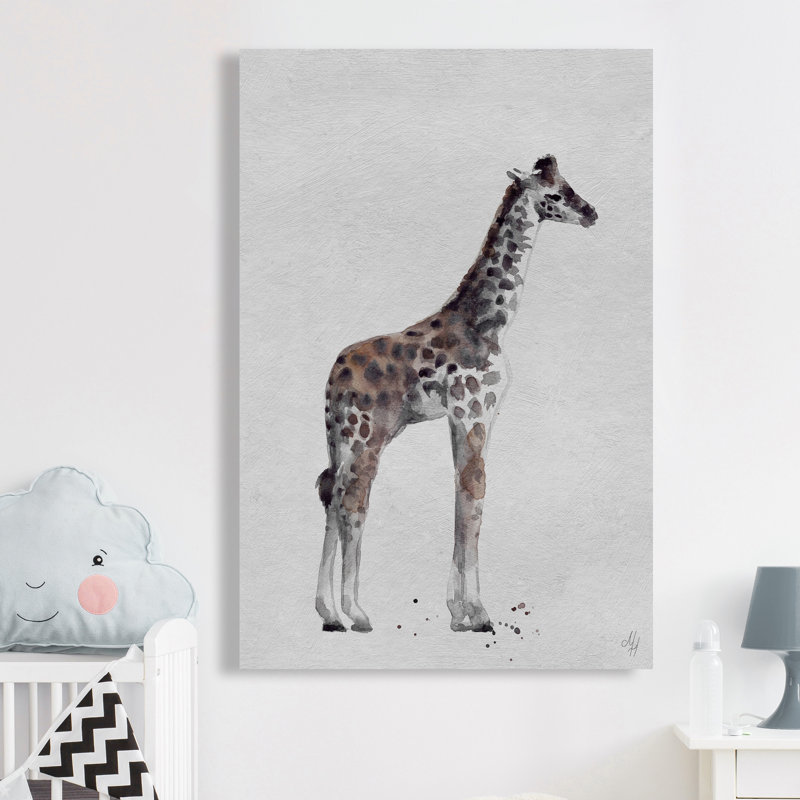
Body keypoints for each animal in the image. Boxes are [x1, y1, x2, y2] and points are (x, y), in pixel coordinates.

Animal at [315, 155, 598, 633]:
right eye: (555, 195)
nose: (592, 213)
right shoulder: (473, 411)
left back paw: (329, 613)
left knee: (331, 492)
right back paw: (356, 612)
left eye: (569, 184)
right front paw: (478, 613)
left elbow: (462, 492)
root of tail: (334, 377)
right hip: (368, 434)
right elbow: (474, 492)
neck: (489, 324)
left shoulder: (466, 418)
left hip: (344, 437)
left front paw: (457, 612)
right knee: (354, 500)